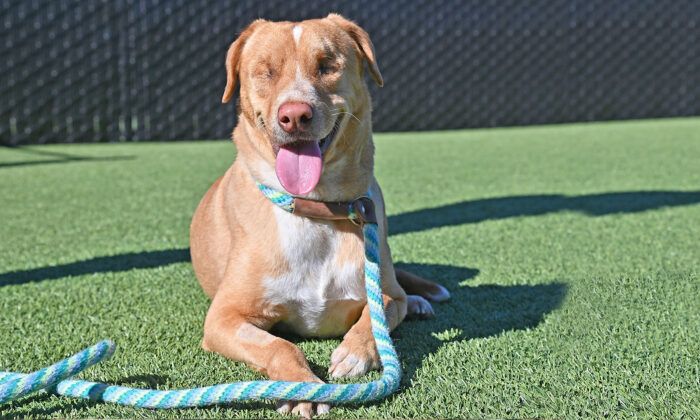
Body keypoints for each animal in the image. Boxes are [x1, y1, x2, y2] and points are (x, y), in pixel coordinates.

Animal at [189, 13, 448, 416]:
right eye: (265, 71)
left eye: (327, 65)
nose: (294, 115)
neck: (317, 210)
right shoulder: (223, 318)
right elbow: (279, 345)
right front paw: (301, 387)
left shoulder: (385, 295)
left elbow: (376, 318)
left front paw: (355, 353)